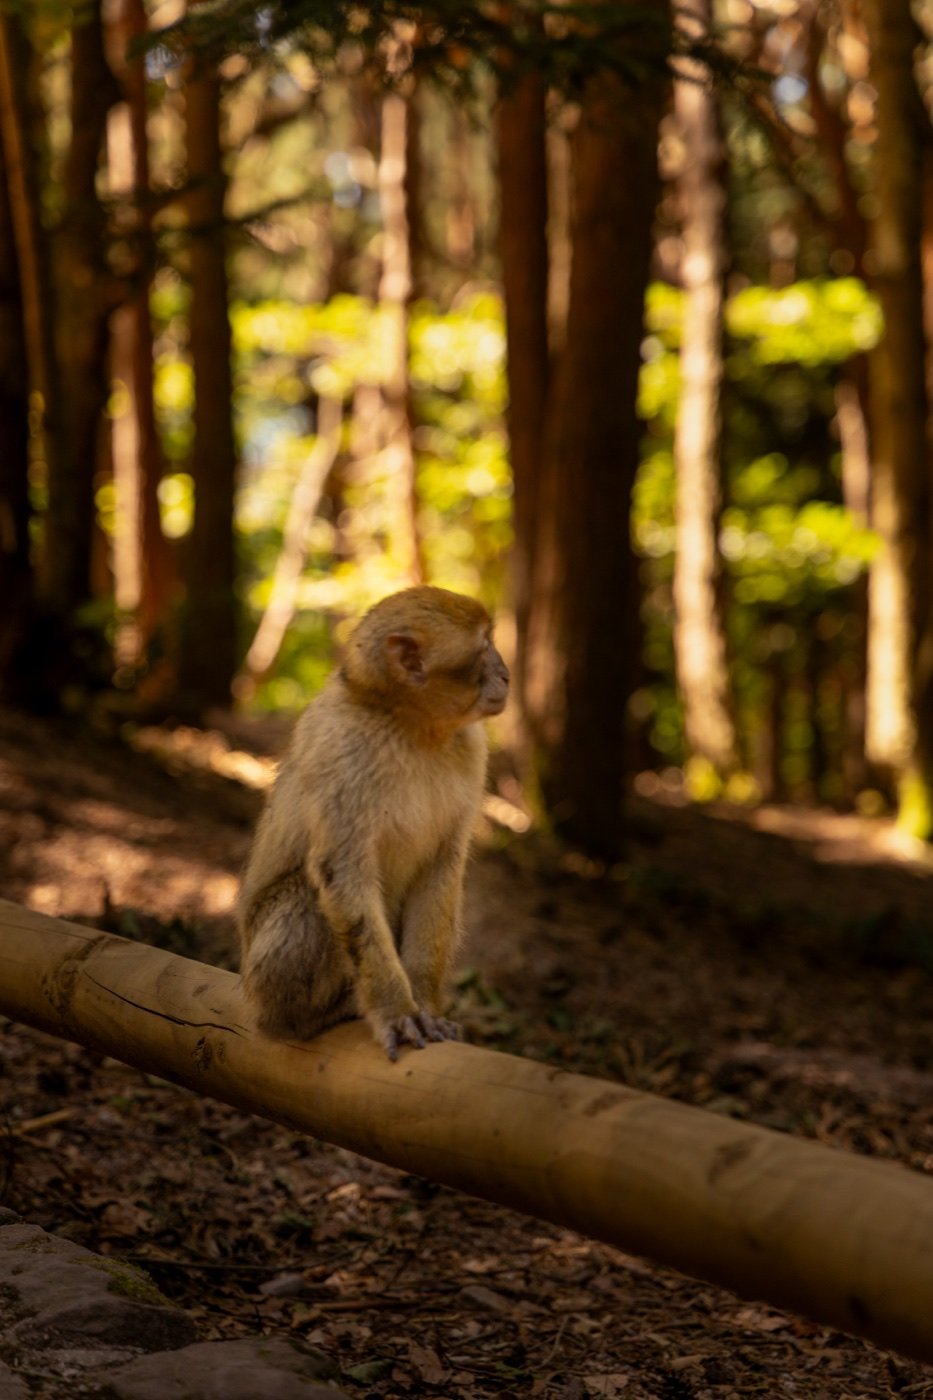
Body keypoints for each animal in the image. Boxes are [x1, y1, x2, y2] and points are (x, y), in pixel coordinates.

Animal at [236, 585, 510, 1061]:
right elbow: (342, 873)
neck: (413, 725)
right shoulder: (343, 750)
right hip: (262, 977)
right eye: (484, 646)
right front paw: (395, 1010)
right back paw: (310, 1017)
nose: (507, 675)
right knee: (308, 897)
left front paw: (424, 1004)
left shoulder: (472, 749)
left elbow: (442, 866)